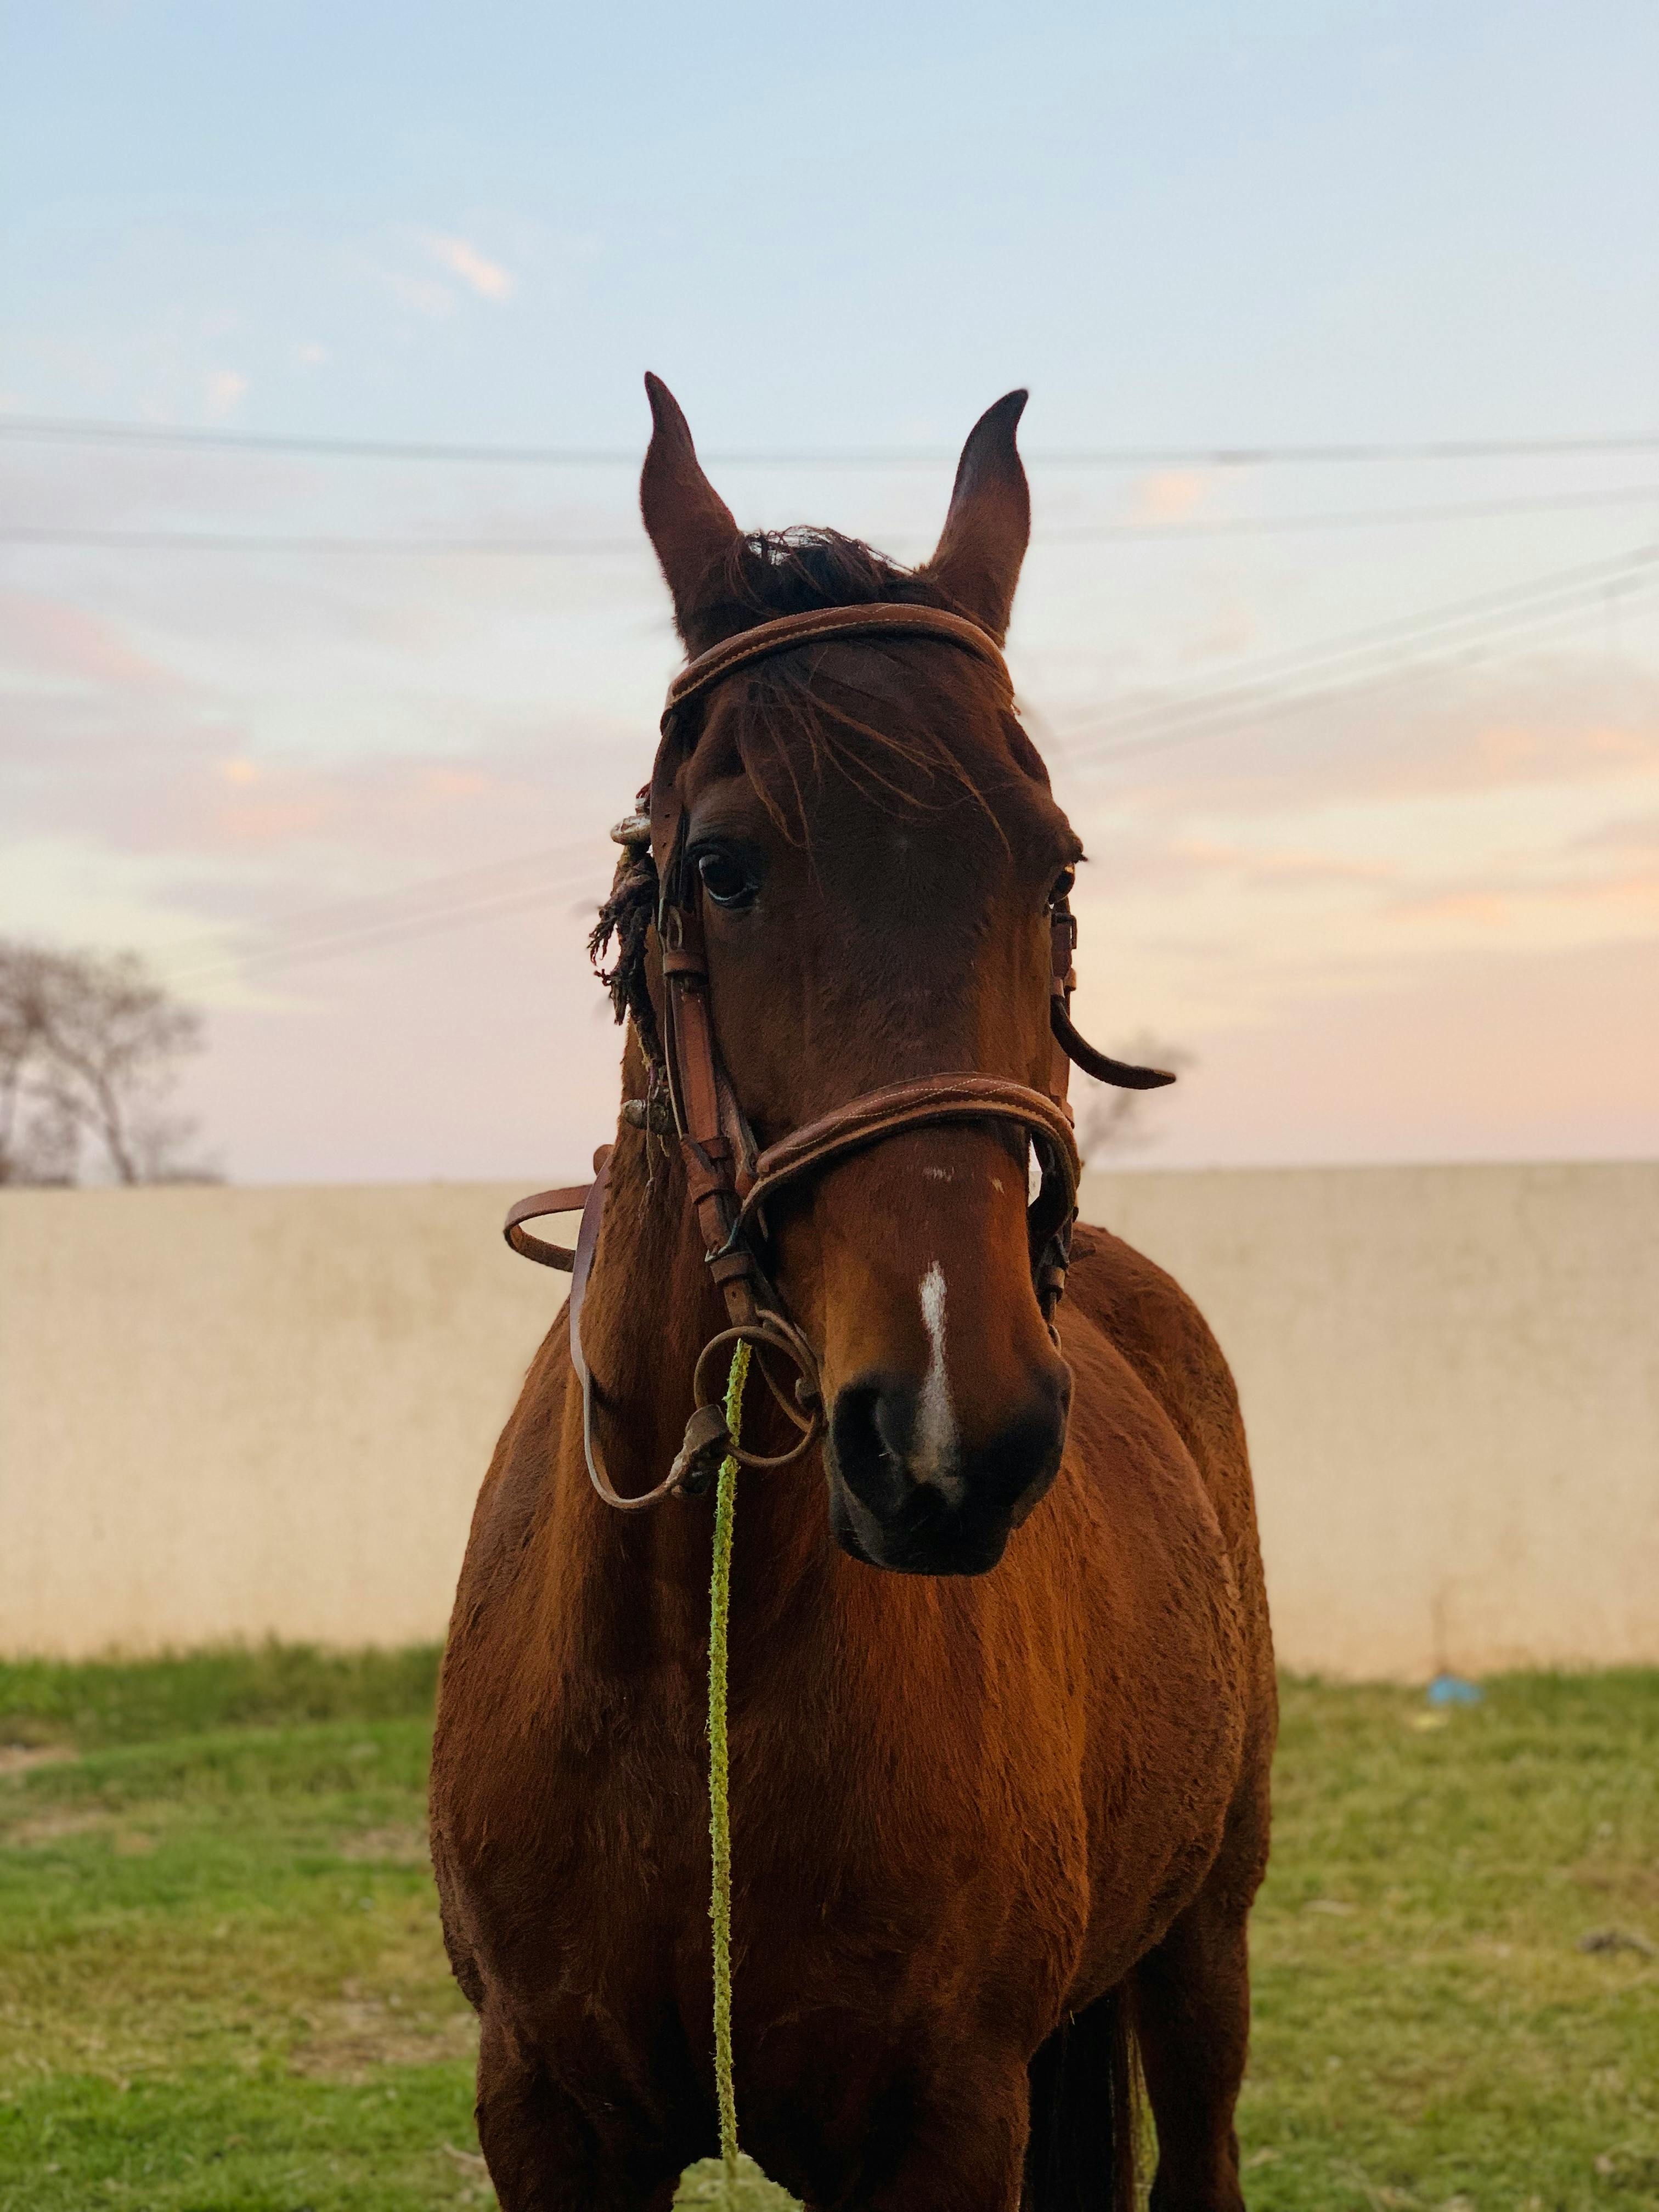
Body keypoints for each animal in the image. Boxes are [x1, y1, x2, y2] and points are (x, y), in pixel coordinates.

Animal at [425, 380, 1274, 2212]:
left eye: (1053, 874)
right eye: (722, 867)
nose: (957, 1433)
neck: (690, 1664)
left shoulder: (946, 2122)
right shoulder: (545, 2115)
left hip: (1204, 1937)